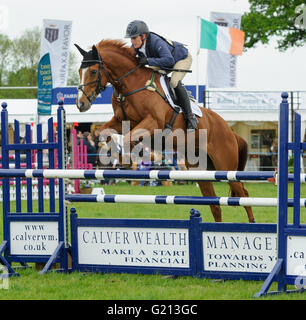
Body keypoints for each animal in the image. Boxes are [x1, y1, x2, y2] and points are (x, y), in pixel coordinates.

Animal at [75, 39, 255, 222]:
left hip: (226, 166)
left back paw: (251, 223)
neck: (131, 85)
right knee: (215, 204)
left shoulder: (153, 122)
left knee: (243, 193)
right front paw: (112, 152)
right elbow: (101, 132)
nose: (81, 104)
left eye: (93, 71)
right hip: (199, 169)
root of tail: (230, 131)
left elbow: (127, 138)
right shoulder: (121, 121)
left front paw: (124, 157)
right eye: (79, 71)